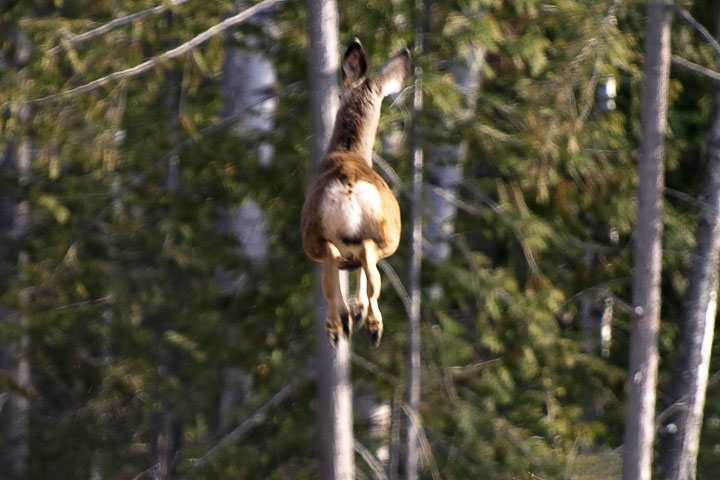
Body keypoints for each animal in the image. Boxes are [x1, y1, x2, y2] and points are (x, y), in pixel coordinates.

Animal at [300, 40, 410, 348]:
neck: (349, 153)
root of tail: (348, 184)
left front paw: (354, 313)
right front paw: (357, 313)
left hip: (318, 235)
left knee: (339, 263)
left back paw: (343, 324)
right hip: (385, 235)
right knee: (364, 263)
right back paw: (363, 325)